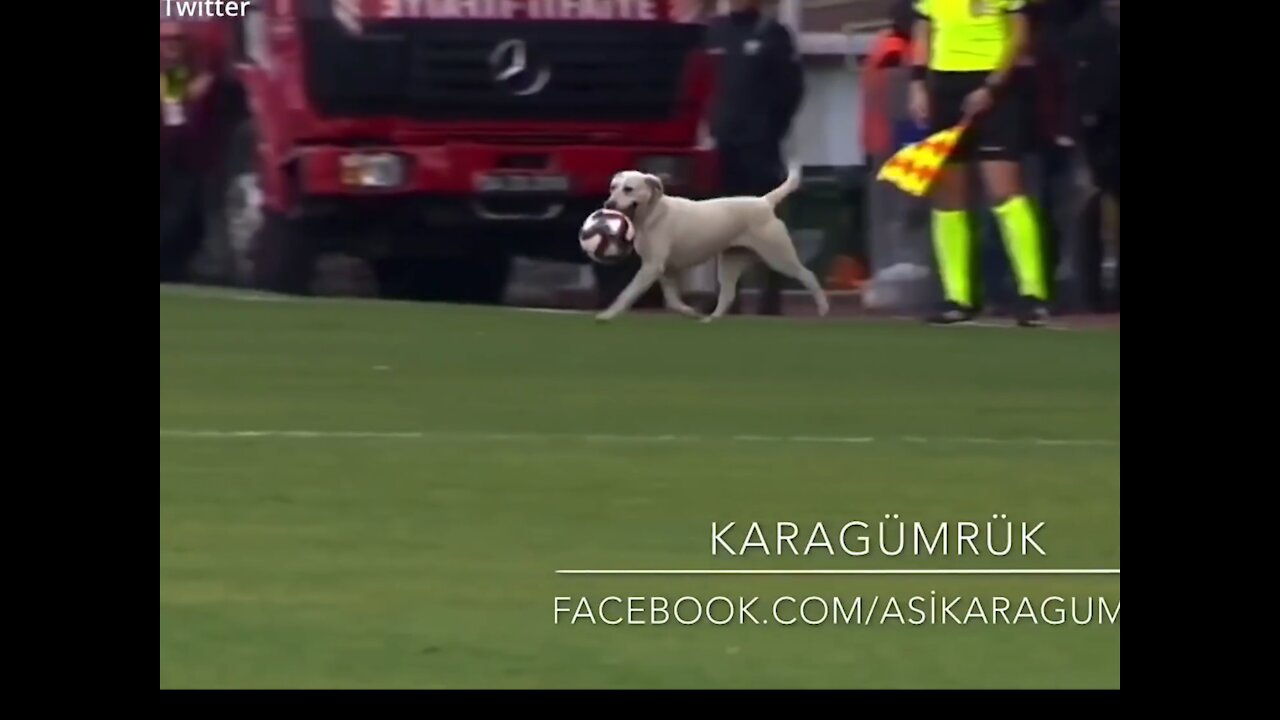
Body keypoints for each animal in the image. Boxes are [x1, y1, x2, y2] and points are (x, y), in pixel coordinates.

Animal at [596, 163, 829, 320]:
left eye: (628, 189)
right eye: (613, 187)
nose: (608, 203)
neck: (653, 214)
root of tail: (764, 202)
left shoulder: (652, 267)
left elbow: (627, 293)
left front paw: (607, 315)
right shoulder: (663, 270)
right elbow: (672, 301)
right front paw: (690, 312)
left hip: (779, 257)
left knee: (808, 275)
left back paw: (823, 309)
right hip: (730, 263)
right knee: (727, 295)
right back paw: (709, 321)